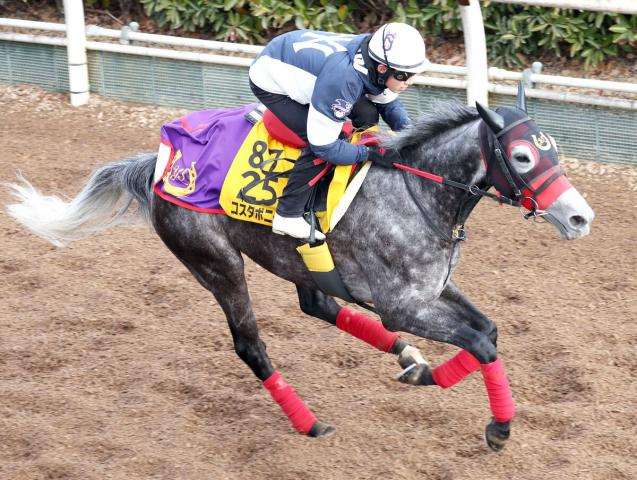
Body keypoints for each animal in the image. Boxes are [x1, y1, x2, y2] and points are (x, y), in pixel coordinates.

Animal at [4, 83, 592, 450]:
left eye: (553, 149)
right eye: (522, 156)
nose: (580, 217)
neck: (417, 192)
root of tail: (162, 162)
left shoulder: (432, 289)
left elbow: (487, 330)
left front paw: (429, 373)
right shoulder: (402, 305)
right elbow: (480, 342)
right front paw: (498, 428)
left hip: (293, 261)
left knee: (318, 303)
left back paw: (406, 359)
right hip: (216, 262)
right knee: (250, 344)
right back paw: (310, 423)